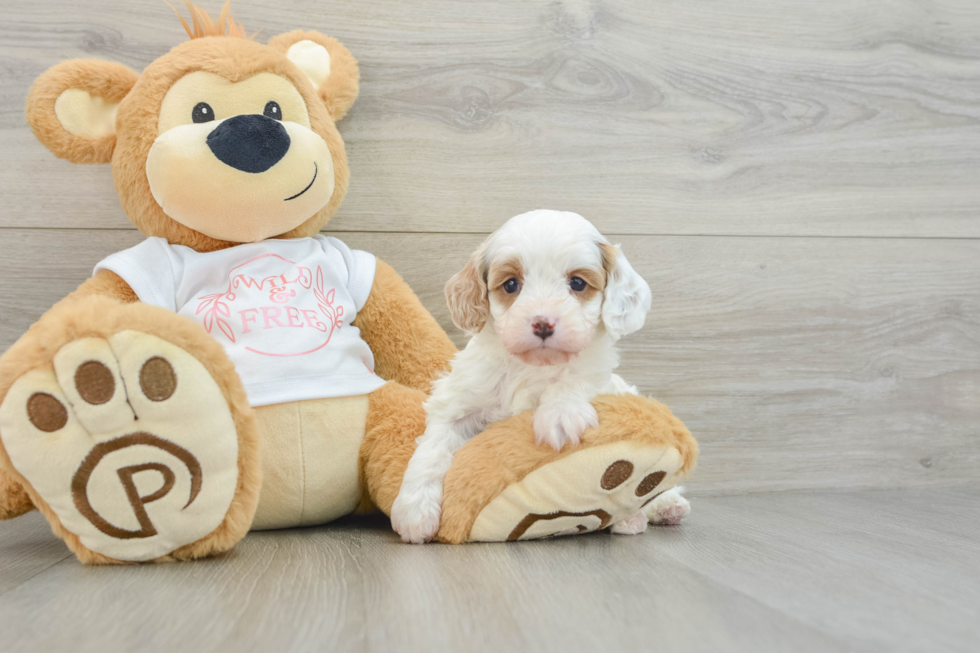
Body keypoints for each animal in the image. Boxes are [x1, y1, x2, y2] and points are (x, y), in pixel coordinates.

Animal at [390, 208, 688, 540]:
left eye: (577, 283)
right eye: (511, 285)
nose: (543, 323)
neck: (531, 367)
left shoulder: (597, 376)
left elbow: (575, 380)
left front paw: (560, 414)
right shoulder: (458, 401)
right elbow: (432, 448)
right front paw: (415, 510)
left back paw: (657, 509)